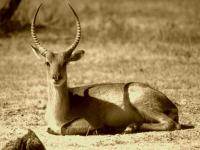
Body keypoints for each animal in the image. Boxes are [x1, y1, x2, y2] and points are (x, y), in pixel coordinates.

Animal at [30, 2, 181, 136]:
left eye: (66, 62)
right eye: (47, 62)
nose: (56, 77)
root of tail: (171, 104)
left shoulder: (89, 121)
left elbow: (63, 129)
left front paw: (102, 129)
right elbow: (50, 129)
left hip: (143, 105)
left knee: (171, 124)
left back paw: (127, 128)